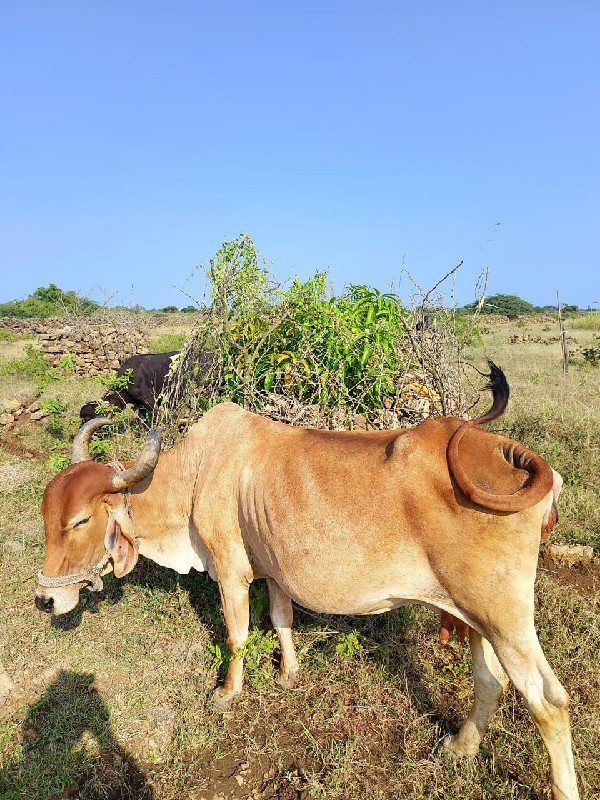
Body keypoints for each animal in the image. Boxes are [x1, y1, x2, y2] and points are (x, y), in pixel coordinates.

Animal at [35, 366, 576, 796]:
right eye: (46, 515)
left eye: (80, 520)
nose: (45, 600)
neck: (196, 473)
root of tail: (509, 451)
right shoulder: (274, 571)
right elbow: (281, 619)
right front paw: (289, 674)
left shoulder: (231, 571)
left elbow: (237, 635)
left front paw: (227, 693)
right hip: (475, 615)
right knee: (491, 681)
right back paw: (459, 748)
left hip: (504, 616)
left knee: (549, 702)